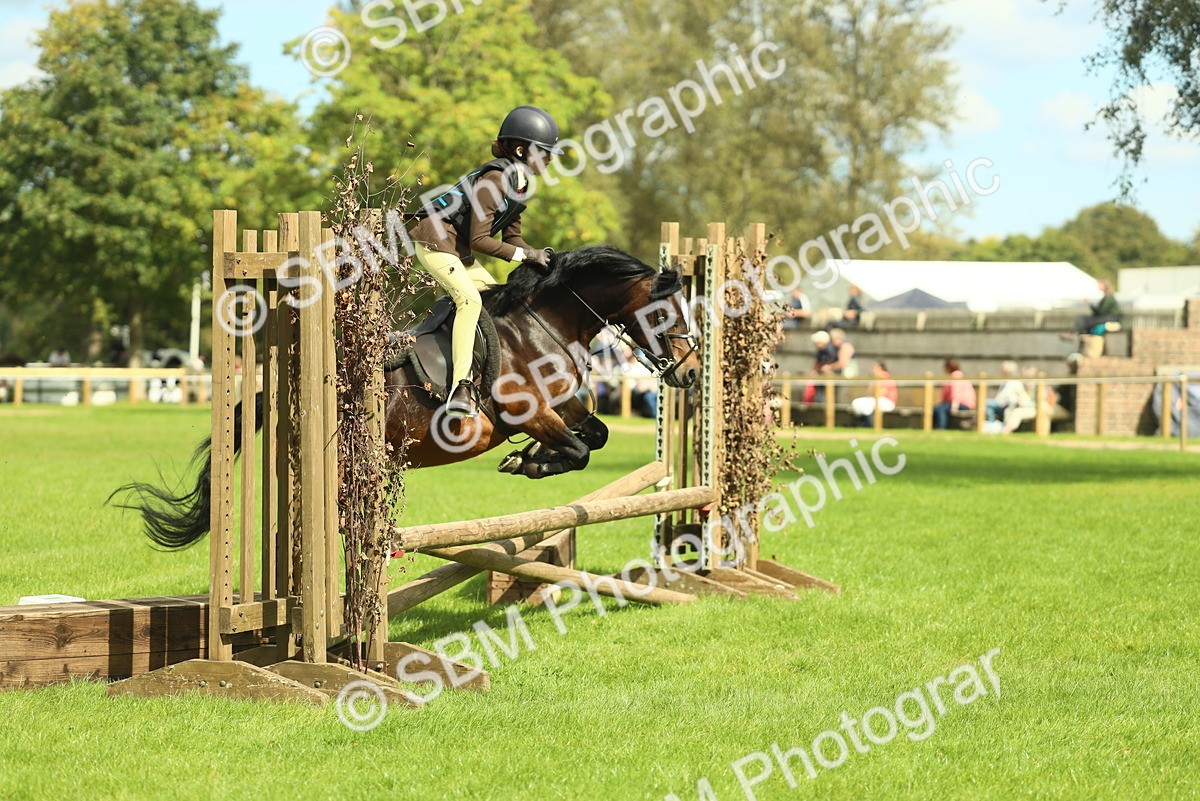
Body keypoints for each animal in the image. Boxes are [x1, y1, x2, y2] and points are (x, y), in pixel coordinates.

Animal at [114, 244, 701, 550]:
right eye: (664, 315)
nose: (692, 374)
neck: (542, 324)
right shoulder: (526, 411)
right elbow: (578, 450)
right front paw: (530, 462)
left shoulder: (561, 404)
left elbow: (595, 434)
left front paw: (528, 460)